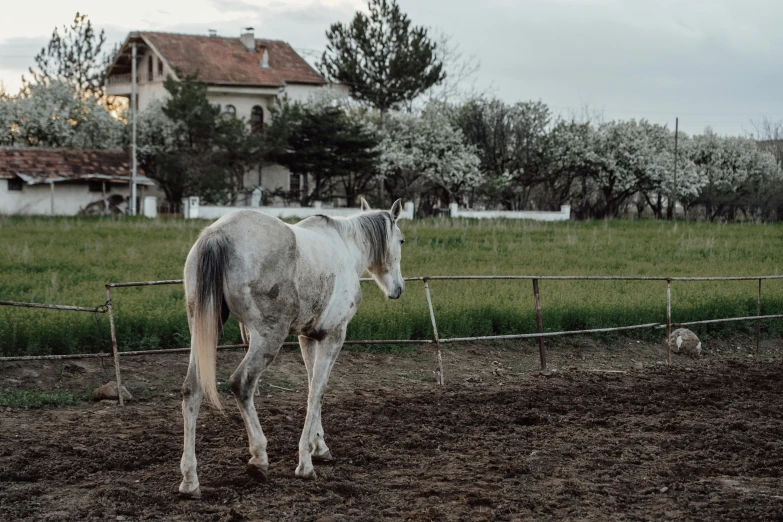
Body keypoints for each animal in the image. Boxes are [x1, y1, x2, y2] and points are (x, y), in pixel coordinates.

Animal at [178, 198, 408, 496]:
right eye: (401, 240)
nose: (398, 289)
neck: (346, 246)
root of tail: (218, 235)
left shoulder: (308, 337)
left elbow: (312, 386)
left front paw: (319, 447)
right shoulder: (334, 335)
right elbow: (317, 391)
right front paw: (305, 462)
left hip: (203, 330)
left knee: (192, 389)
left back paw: (190, 480)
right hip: (267, 337)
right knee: (241, 383)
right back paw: (259, 457)